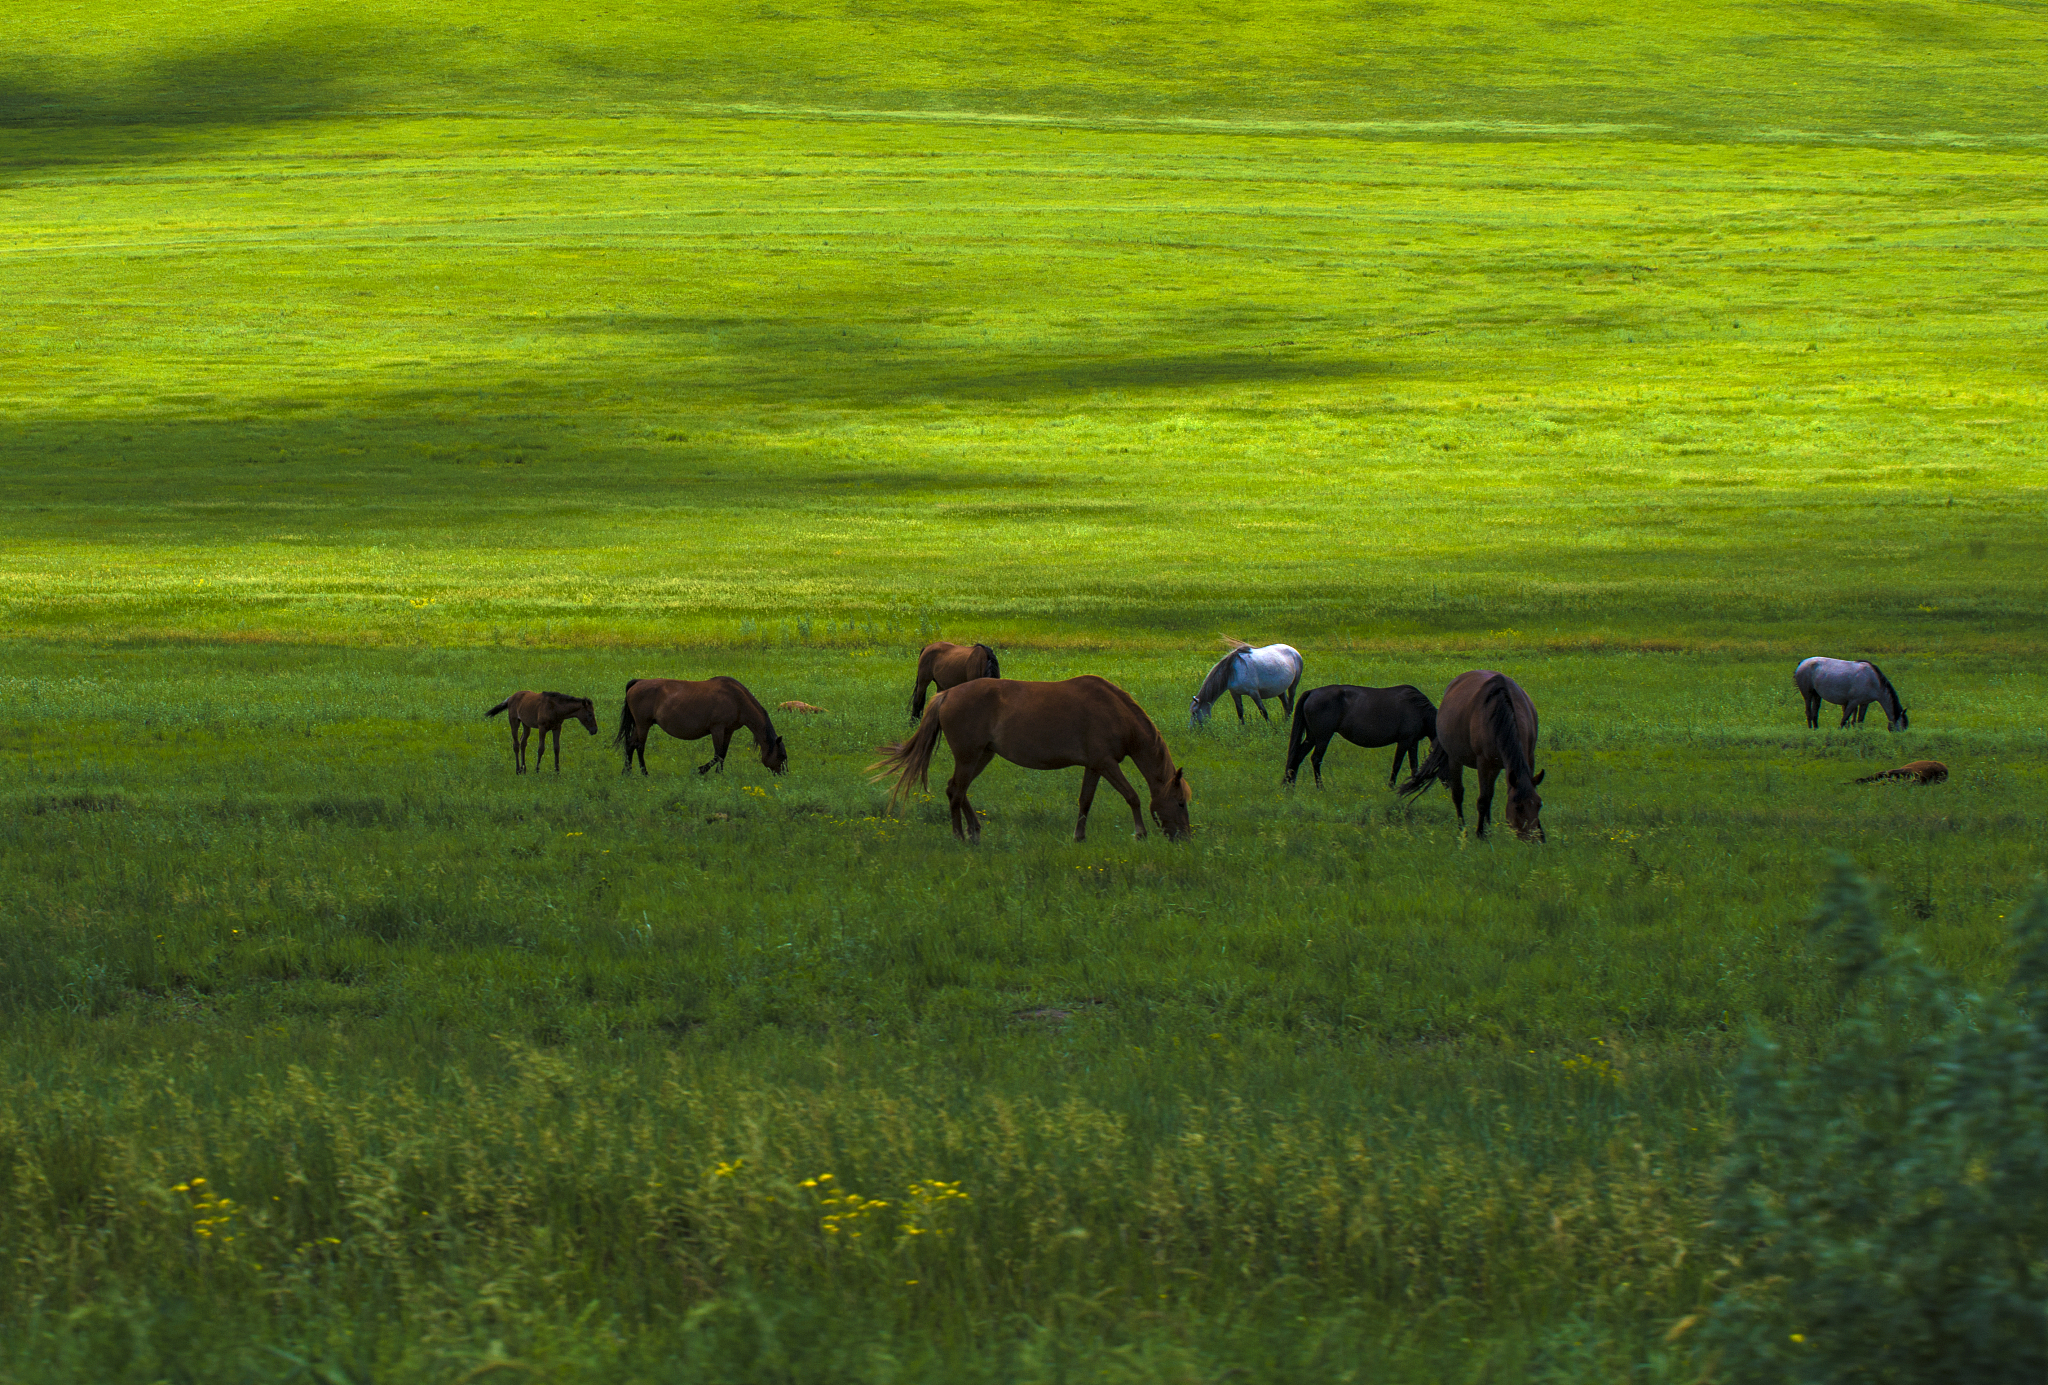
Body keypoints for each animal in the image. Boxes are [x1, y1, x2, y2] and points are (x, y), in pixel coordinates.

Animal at [606, 680, 782, 778]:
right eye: (782, 757)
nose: (783, 774)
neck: (737, 699)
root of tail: (637, 682)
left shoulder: (728, 730)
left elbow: (722, 754)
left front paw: (719, 774)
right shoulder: (717, 728)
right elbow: (717, 754)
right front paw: (701, 770)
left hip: (640, 725)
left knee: (630, 745)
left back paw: (627, 772)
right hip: (643, 724)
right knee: (639, 747)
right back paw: (644, 773)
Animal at [872, 672, 1196, 844]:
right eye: (1180, 803)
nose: (1185, 837)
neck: (1115, 712)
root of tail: (946, 695)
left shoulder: (1094, 766)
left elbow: (1085, 801)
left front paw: (1078, 837)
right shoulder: (1106, 763)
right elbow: (1132, 796)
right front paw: (1140, 833)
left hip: (983, 756)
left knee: (956, 790)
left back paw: (974, 832)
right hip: (968, 756)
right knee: (956, 792)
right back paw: (960, 836)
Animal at [1277, 684, 1441, 790]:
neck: (1419, 709)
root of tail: (1312, 692)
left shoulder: (1413, 742)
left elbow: (1414, 765)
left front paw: (1414, 784)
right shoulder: (1404, 741)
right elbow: (1397, 764)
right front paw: (1391, 787)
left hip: (1312, 736)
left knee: (1298, 755)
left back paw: (1291, 786)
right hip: (1323, 737)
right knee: (1316, 759)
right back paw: (1320, 787)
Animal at [1400, 663, 1540, 840]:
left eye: (1540, 804)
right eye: (1518, 807)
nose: (1535, 838)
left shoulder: (1528, 757)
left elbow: (1489, 797)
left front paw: (1486, 831)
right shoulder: (1484, 764)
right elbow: (1483, 799)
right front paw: (1480, 834)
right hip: (1455, 759)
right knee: (1458, 794)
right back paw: (1462, 829)